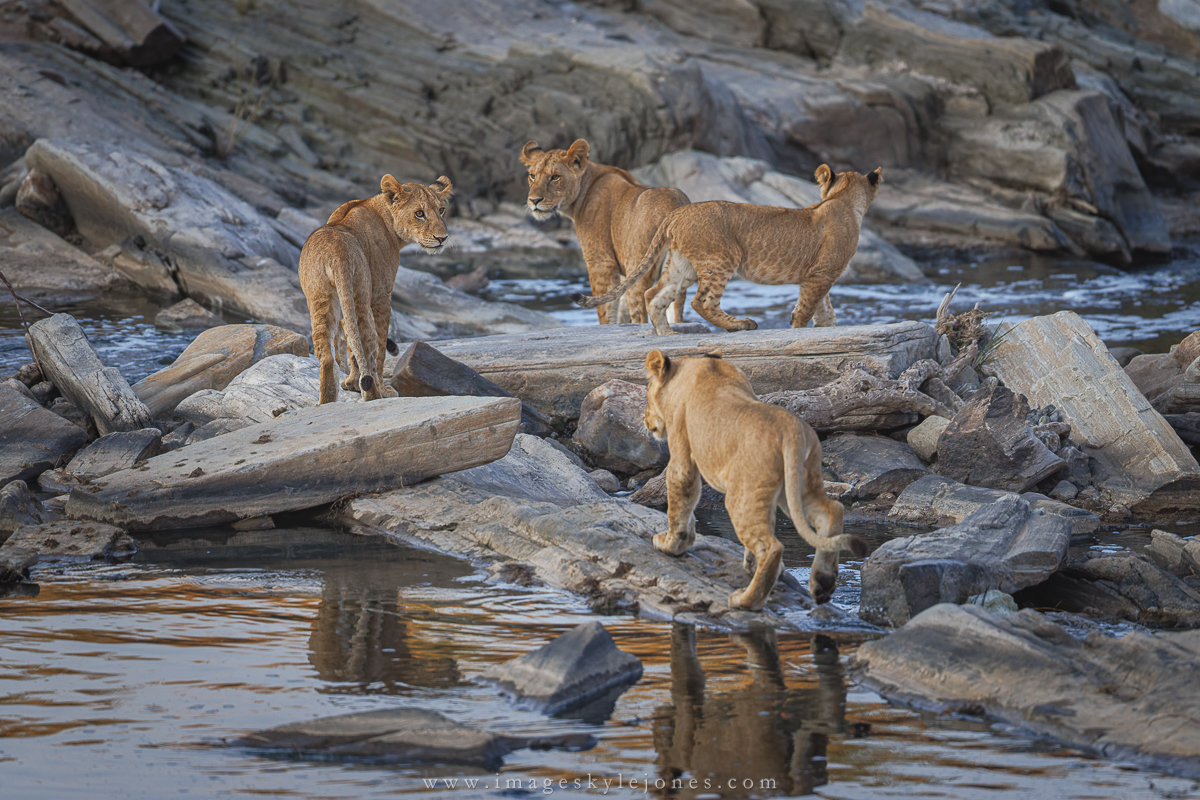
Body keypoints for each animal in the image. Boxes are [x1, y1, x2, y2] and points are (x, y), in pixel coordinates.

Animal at [299, 174, 453, 405]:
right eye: (419, 213)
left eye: (441, 210)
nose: (442, 238)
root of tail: (336, 254)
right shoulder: (381, 295)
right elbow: (379, 347)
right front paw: (381, 388)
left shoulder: (343, 301)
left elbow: (351, 344)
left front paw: (351, 384)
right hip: (361, 295)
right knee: (369, 343)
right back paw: (375, 395)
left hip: (322, 298)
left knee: (327, 356)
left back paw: (326, 402)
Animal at [521, 138, 687, 325]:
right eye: (532, 175)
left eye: (555, 177)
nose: (534, 200)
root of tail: (674, 206)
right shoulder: (622, 274)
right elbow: (620, 308)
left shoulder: (601, 263)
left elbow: (606, 312)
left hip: (638, 269)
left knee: (642, 313)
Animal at [579, 165, 882, 335]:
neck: (842, 199)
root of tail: (677, 213)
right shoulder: (821, 273)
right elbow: (805, 310)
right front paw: (798, 330)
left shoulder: (818, 275)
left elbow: (824, 310)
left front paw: (824, 327)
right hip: (722, 257)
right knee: (701, 302)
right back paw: (741, 324)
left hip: (682, 264)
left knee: (654, 295)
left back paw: (667, 336)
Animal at [643, 349, 868, 609]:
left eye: (646, 392)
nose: (644, 418)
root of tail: (790, 428)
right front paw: (750, 564)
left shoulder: (682, 456)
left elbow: (678, 506)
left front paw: (671, 545)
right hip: (797, 485)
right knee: (831, 510)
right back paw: (822, 583)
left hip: (742, 496)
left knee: (772, 547)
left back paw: (746, 601)